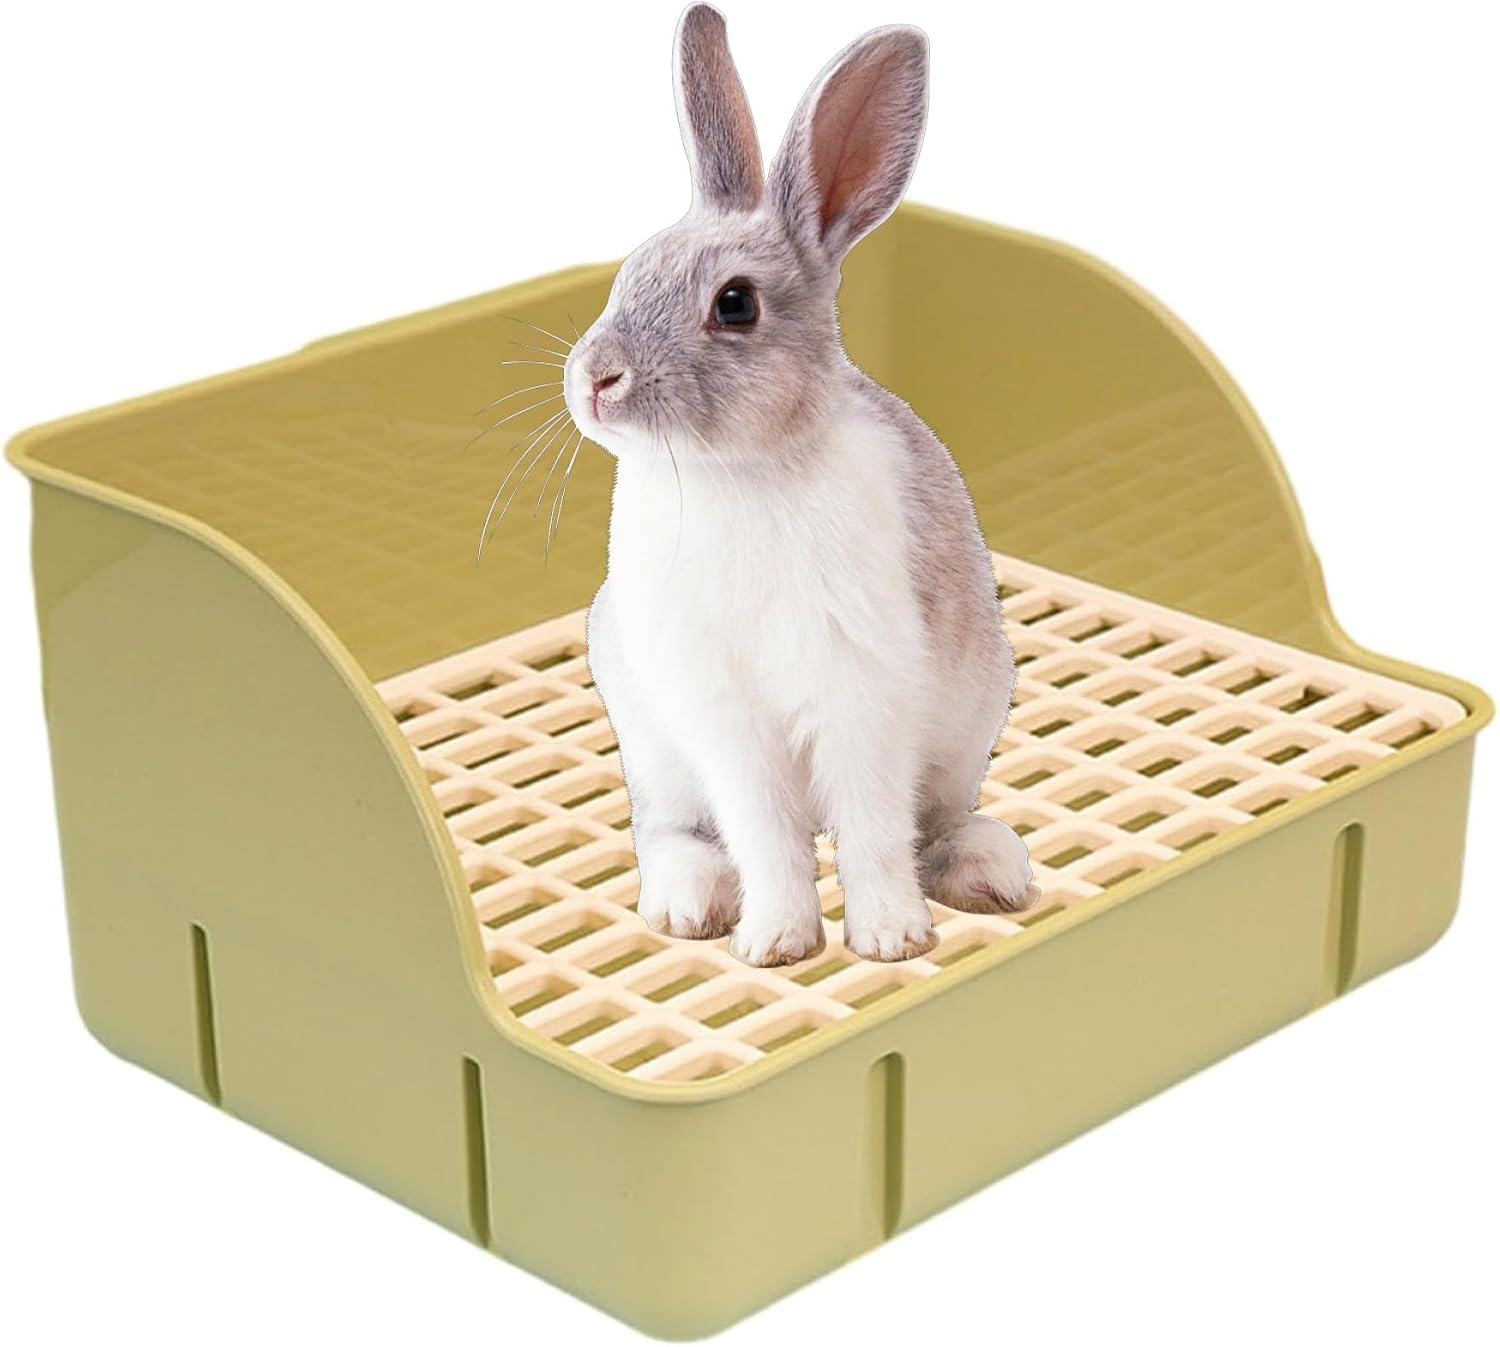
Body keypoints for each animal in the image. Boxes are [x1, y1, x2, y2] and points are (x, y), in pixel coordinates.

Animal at [562, 3, 1039, 966]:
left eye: (735, 303)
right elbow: (766, 834)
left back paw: (990, 872)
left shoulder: (862, 694)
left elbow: (871, 827)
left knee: (935, 820)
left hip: (969, 721)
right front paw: (776, 942)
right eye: (630, 272)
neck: (740, 471)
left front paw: (891, 938)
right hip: (653, 744)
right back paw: (687, 905)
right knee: (670, 832)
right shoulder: (726, 719)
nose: (595, 379)